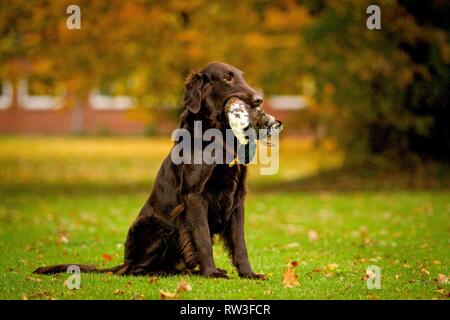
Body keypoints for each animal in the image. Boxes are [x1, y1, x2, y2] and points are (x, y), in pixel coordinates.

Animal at [34, 62, 282, 278]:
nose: (259, 100)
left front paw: (249, 274)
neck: (216, 136)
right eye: (227, 78)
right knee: (135, 270)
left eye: (242, 76)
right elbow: (202, 238)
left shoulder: (237, 197)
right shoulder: (194, 196)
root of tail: (125, 261)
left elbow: (240, 243)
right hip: (159, 226)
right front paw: (211, 273)